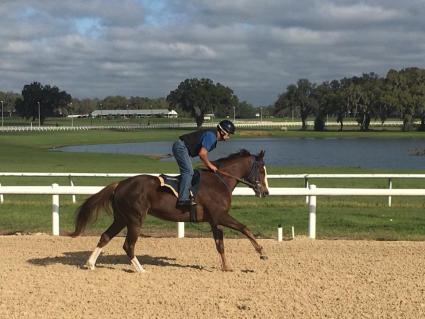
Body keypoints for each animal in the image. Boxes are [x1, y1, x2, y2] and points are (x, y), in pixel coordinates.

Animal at [69, 150, 268, 272]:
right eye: (261, 170)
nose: (266, 192)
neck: (219, 181)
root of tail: (120, 184)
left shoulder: (214, 220)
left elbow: (220, 244)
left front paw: (226, 267)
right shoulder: (221, 215)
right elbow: (244, 228)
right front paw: (262, 252)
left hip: (121, 218)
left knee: (105, 236)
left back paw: (90, 264)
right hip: (135, 219)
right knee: (128, 245)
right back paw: (141, 269)